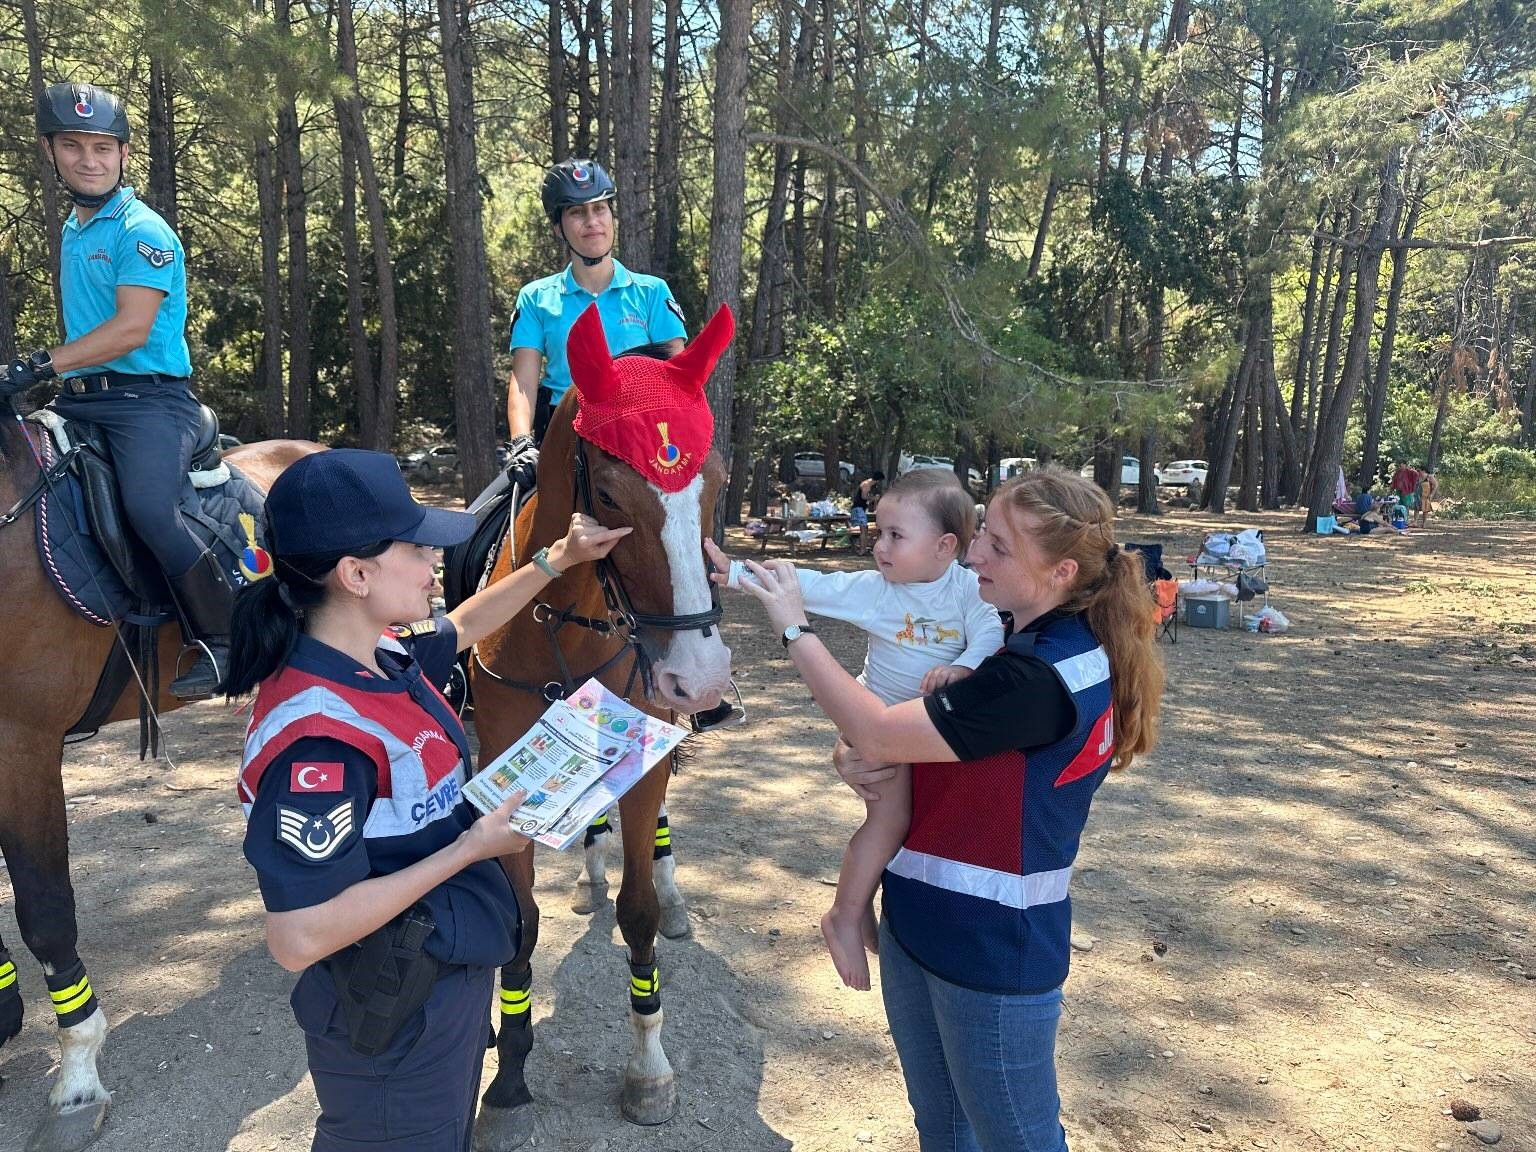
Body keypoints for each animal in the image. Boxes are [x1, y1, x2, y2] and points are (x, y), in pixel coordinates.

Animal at [463, 302, 734, 1148]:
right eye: (611, 497)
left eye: (716, 483)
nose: (701, 678)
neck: (565, 621)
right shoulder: (508, 771)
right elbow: (519, 924)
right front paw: (509, 1075)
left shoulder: (645, 760)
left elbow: (638, 913)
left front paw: (649, 1069)